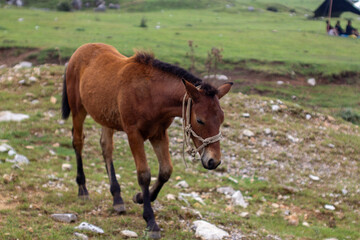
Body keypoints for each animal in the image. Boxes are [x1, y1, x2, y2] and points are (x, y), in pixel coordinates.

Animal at [61, 43, 231, 238]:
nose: (213, 161)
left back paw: (117, 197)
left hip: (106, 117)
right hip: (78, 109)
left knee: (106, 147)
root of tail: (80, 50)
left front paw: (141, 197)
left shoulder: (159, 134)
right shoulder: (134, 134)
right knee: (78, 142)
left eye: (221, 119)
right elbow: (144, 174)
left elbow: (165, 171)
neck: (151, 94)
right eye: (200, 120)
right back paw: (82, 189)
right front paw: (151, 222)